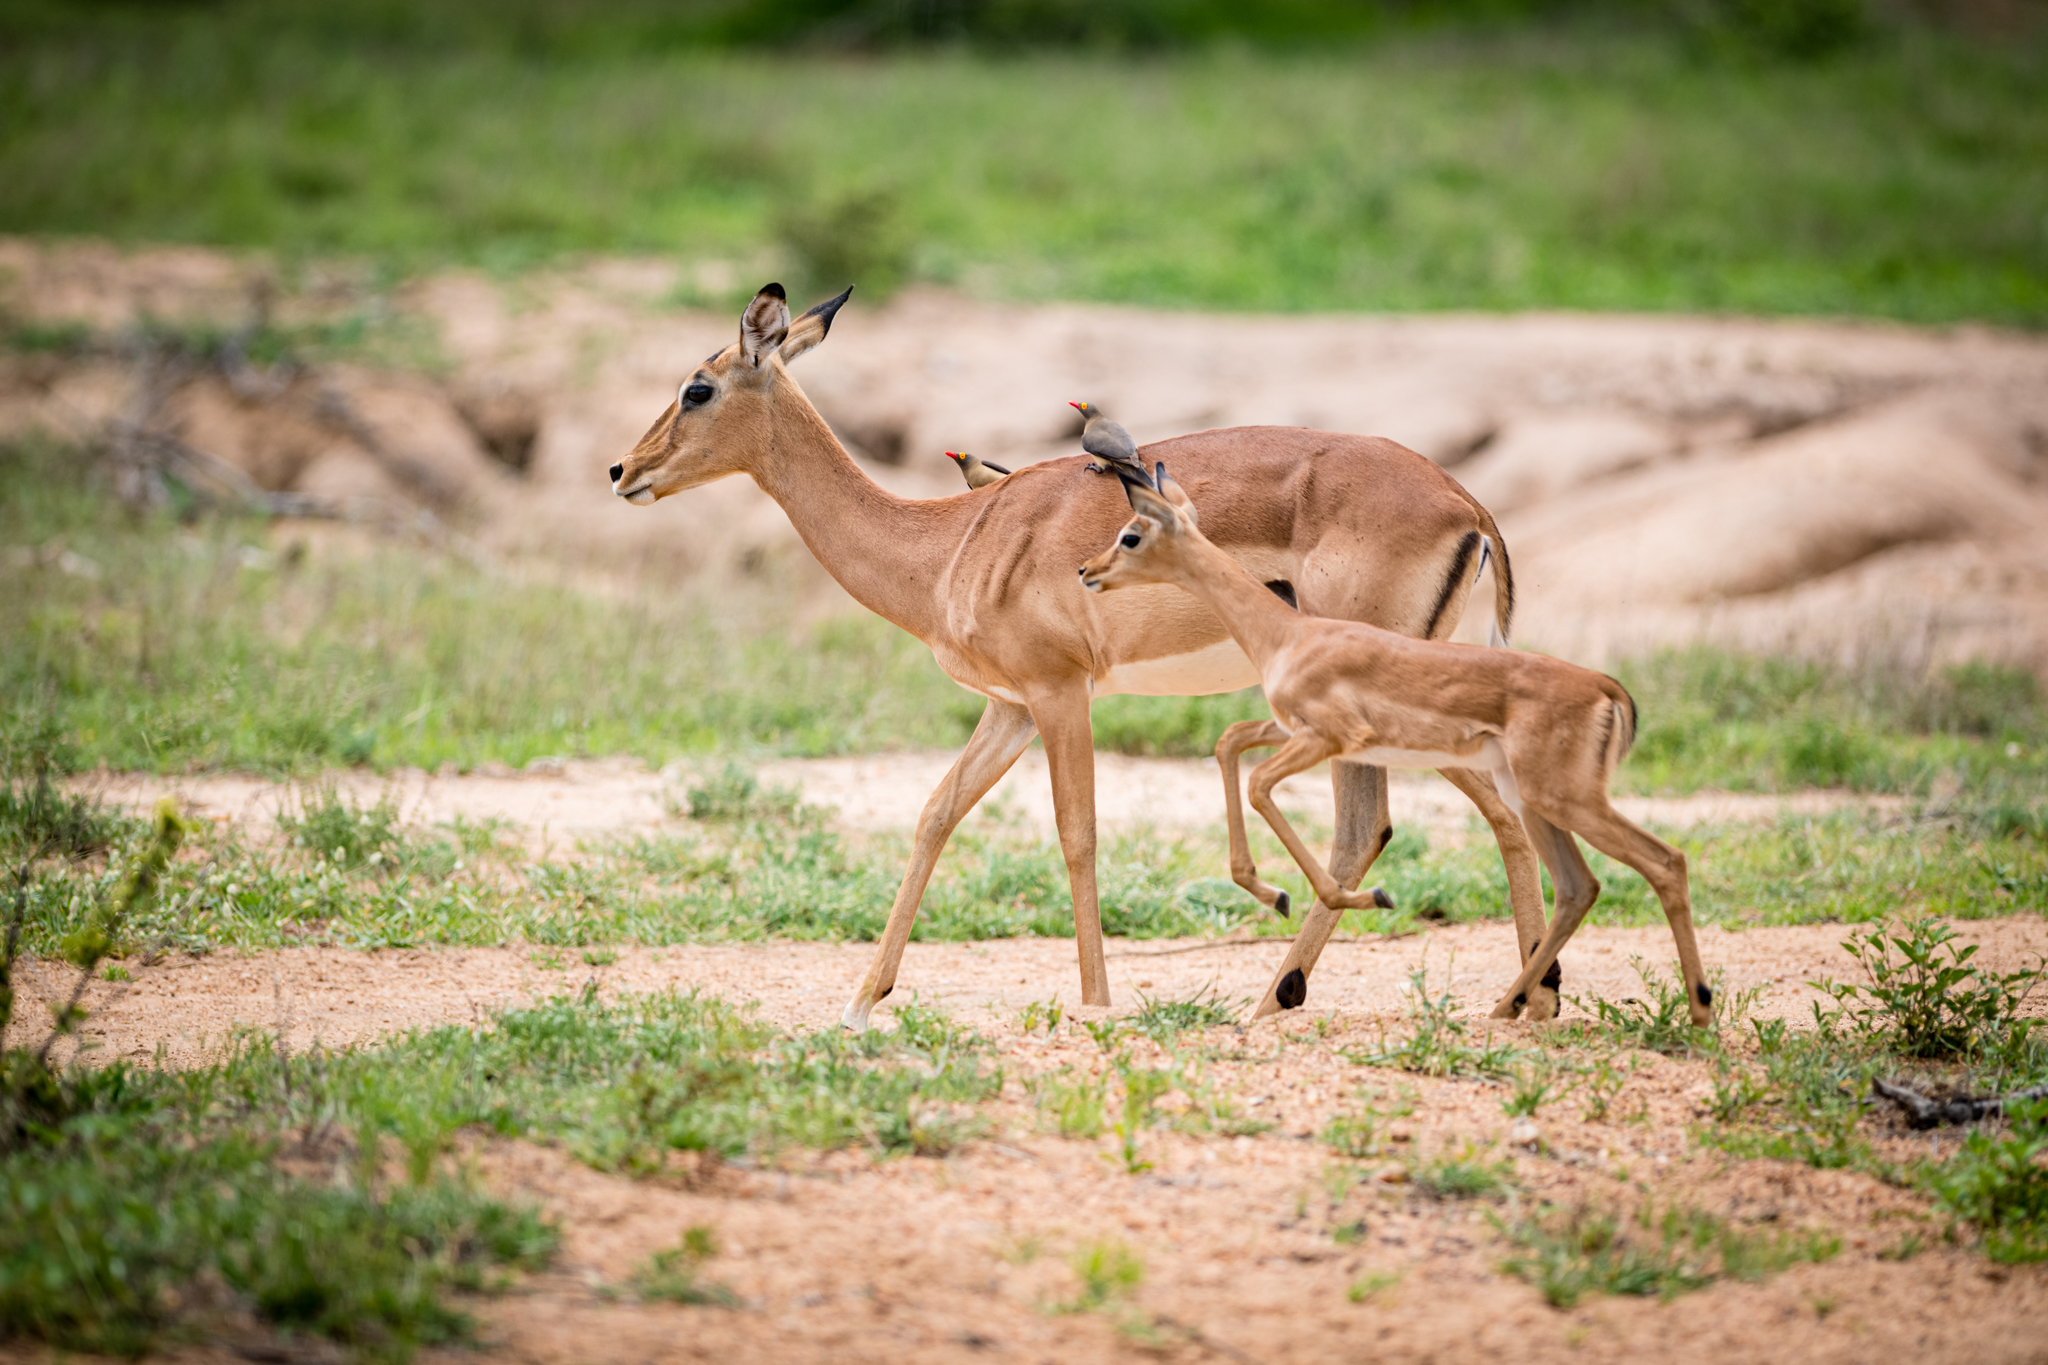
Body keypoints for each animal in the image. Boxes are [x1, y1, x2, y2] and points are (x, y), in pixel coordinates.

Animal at [610, 283, 1555, 1028]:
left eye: (697, 387)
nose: (622, 470)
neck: (948, 544)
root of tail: (1466, 501)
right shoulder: (1010, 706)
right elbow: (935, 814)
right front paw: (861, 999)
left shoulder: (1059, 691)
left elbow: (1077, 833)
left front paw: (1097, 1002)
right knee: (1471, 812)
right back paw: (1504, 997)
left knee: (1389, 822)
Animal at [1078, 467, 1714, 1027]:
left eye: (1131, 534)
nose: (1086, 570)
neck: (1287, 633)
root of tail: (1607, 689)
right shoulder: (1290, 729)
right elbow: (1230, 745)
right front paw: (1278, 893)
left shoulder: (1329, 738)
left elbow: (1265, 787)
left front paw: (1340, 898)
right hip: (1538, 800)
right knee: (1580, 886)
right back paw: (1509, 1008)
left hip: (1563, 797)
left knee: (1664, 860)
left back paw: (1699, 1011)